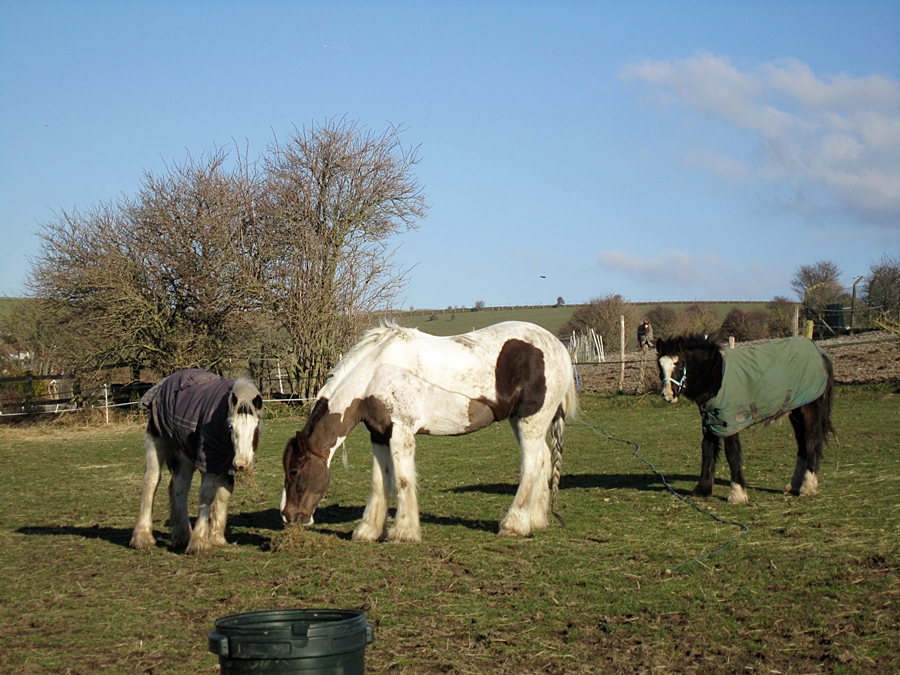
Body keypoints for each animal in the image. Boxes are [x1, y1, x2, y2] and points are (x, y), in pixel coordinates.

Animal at [130, 369, 263, 553]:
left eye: (256, 427)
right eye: (231, 427)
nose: (242, 463)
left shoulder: (226, 463)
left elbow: (224, 493)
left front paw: (216, 538)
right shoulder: (209, 462)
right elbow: (207, 494)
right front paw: (199, 542)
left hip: (185, 456)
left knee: (179, 487)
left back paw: (183, 535)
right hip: (156, 444)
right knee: (150, 482)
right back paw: (142, 537)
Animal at [281, 321, 579, 542]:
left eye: (295, 470)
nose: (288, 516)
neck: (376, 372)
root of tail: (558, 347)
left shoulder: (401, 432)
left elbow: (402, 480)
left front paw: (403, 532)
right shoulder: (379, 435)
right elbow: (379, 482)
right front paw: (368, 530)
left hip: (530, 422)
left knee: (532, 465)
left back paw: (513, 524)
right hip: (523, 423)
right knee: (544, 460)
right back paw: (536, 521)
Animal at [656, 335, 834, 504]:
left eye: (679, 364)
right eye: (660, 366)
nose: (668, 395)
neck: (717, 376)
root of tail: (821, 354)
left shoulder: (730, 422)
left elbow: (732, 453)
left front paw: (737, 494)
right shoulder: (710, 421)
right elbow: (707, 450)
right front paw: (702, 490)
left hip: (809, 410)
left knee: (812, 442)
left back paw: (807, 487)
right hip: (796, 412)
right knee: (802, 445)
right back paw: (794, 486)